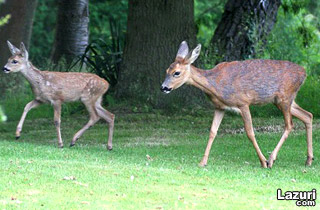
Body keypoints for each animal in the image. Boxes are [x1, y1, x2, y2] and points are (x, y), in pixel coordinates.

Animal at [160, 41, 312, 169]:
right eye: (166, 70)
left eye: (176, 73)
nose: (163, 87)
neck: (215, 85)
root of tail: (304, 73)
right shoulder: (220, 107)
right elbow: (212, 132)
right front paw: (203, 162)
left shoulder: (243, 102)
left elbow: (250, 132)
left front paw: (263, 162)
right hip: (283, 101)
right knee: (308, 115)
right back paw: (309, 159)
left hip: (284, 98)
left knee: (289, 124)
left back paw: (271, 159)